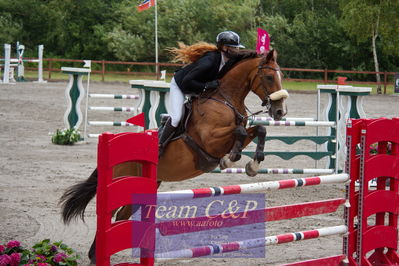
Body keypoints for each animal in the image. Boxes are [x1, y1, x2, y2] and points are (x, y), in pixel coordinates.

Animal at [59, 48, 290, 262]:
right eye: (269, 77)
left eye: (280, 75)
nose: (280, 112)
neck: (225, 100)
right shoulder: (210, 140)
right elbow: (240, 132)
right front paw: (230, 158)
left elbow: (259, 129)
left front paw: (253, 165)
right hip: (122, 182)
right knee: (111, 214)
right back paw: (96, 255)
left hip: (145, 186)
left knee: (122, 215)